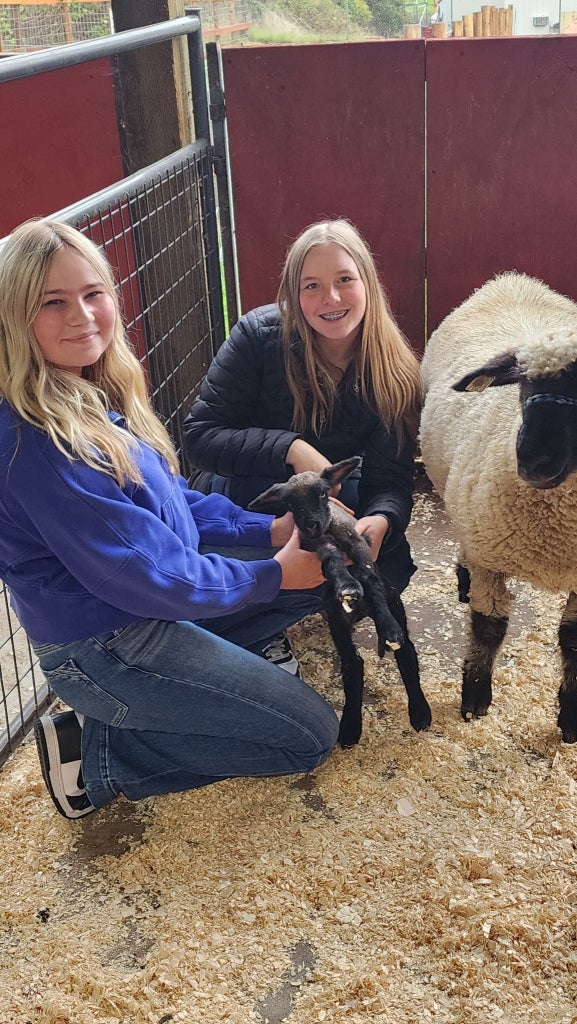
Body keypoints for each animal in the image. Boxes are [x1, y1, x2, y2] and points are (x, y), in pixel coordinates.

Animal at [249, 457, 432, 748]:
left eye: (323, 493)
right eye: (289, 503)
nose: (310, 523)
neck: (329, 529)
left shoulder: (358, 541)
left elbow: (369, 575)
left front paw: (387, 626)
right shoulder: (318, 546)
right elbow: (333, 562)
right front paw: (347, 586)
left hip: (395, 602)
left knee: (406, 650)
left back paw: (419, 711)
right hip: (337, 623)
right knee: (352, 662)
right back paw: (350, 727)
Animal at [419, 271, 577, 742]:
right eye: (523, 383)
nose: (532, 461)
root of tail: (509, 280)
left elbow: (573, 640)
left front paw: (571, 717)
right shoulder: (490, 556)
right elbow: (489, 627)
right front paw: (475, 698)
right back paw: (462, 576)